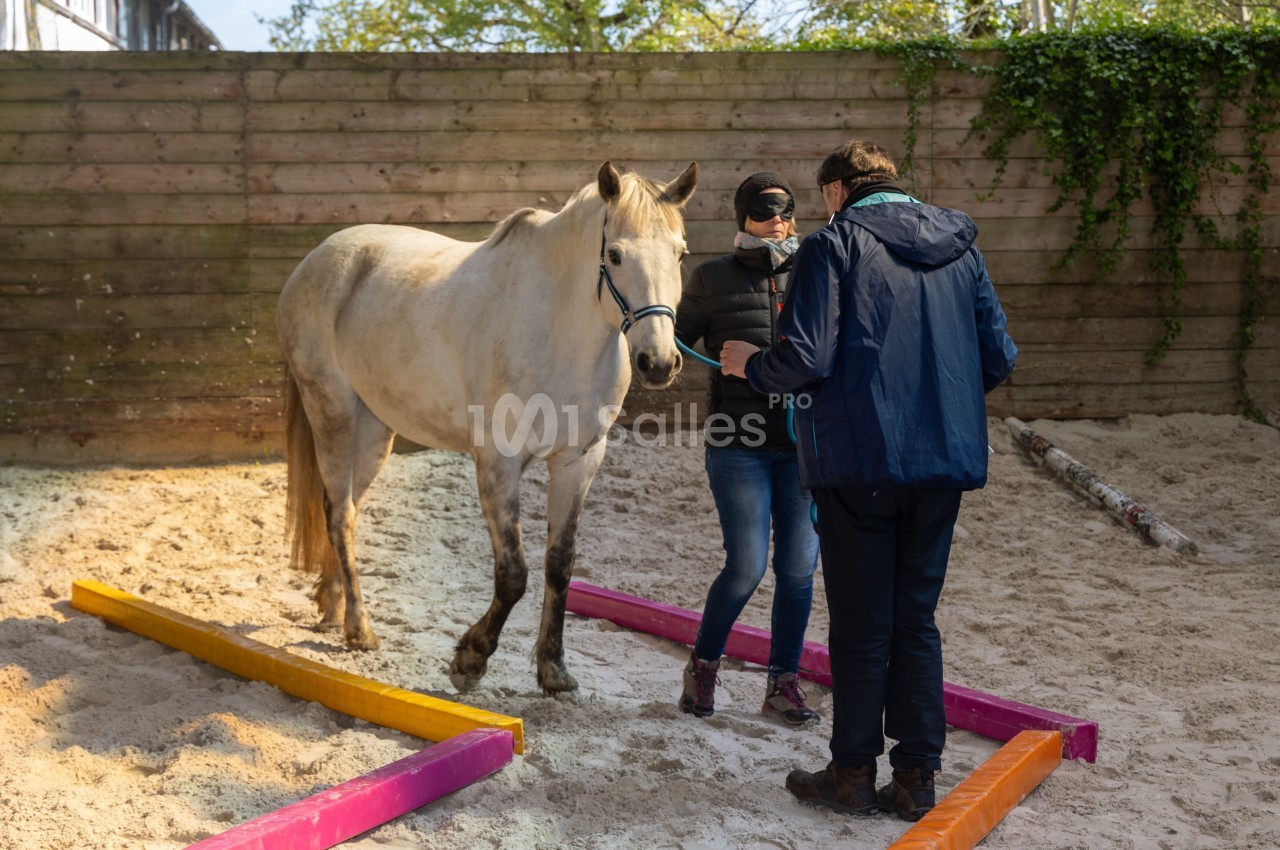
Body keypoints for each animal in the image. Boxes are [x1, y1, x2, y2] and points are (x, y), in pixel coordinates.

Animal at [276, 161, 698, 694]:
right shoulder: (499, 462)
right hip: (332, 412)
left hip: (373, 433)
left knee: (344, 507)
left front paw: (554, 670)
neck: (557, 333)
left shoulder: (578, 463)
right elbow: (513, 573)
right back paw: (358, 628)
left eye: (680, 253)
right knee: (339, 514)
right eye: (616, 255)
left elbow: (560, 564)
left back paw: (332, 607)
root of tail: (316, 258)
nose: (658, 363)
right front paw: (470, 660)